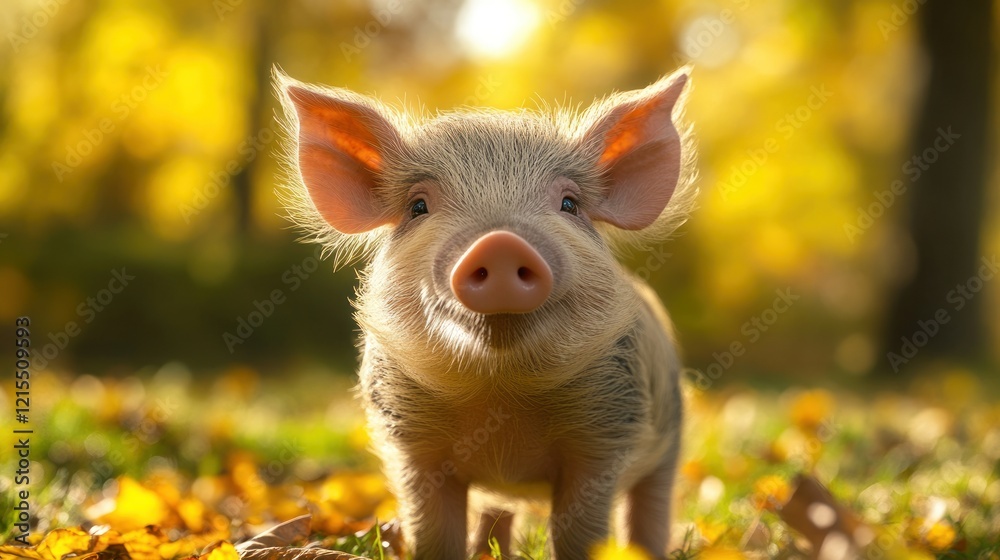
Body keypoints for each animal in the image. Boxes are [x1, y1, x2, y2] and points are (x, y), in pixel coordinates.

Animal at [275, 66, 697, 560]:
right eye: (418, 206)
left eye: (569, 204)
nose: (500, 242)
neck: (500, 392)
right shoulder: (410, 445)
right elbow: (434, 532)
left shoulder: (605, 436)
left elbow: (581, 532)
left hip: (671, 435)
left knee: (650, 505)